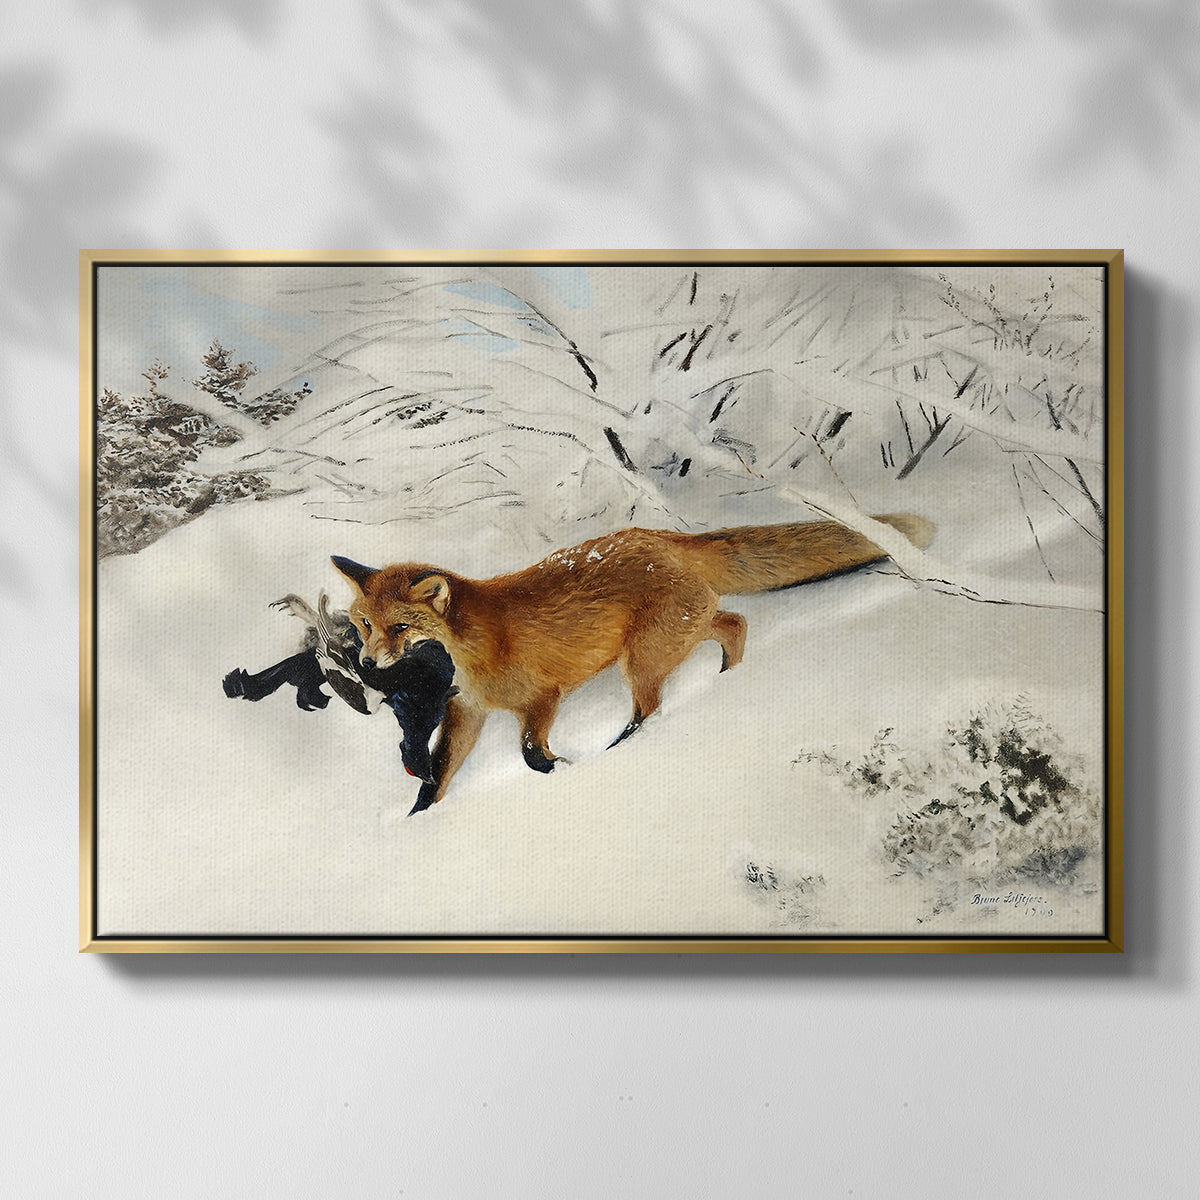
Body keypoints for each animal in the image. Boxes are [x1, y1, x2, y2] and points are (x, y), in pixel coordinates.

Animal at [332, 513, 934, 814]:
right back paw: (728, 679)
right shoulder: (468, 712)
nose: (367, 662)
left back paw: (625, 747)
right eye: (363, 624)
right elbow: (437, 777)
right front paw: (418, 821)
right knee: (734, 623)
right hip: (677, 635)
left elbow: (530, 754)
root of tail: (659, 536)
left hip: (642, 659)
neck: (474, 649)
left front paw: (565, 770)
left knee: (652, 707)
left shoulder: (542, 698)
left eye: (399, 628)